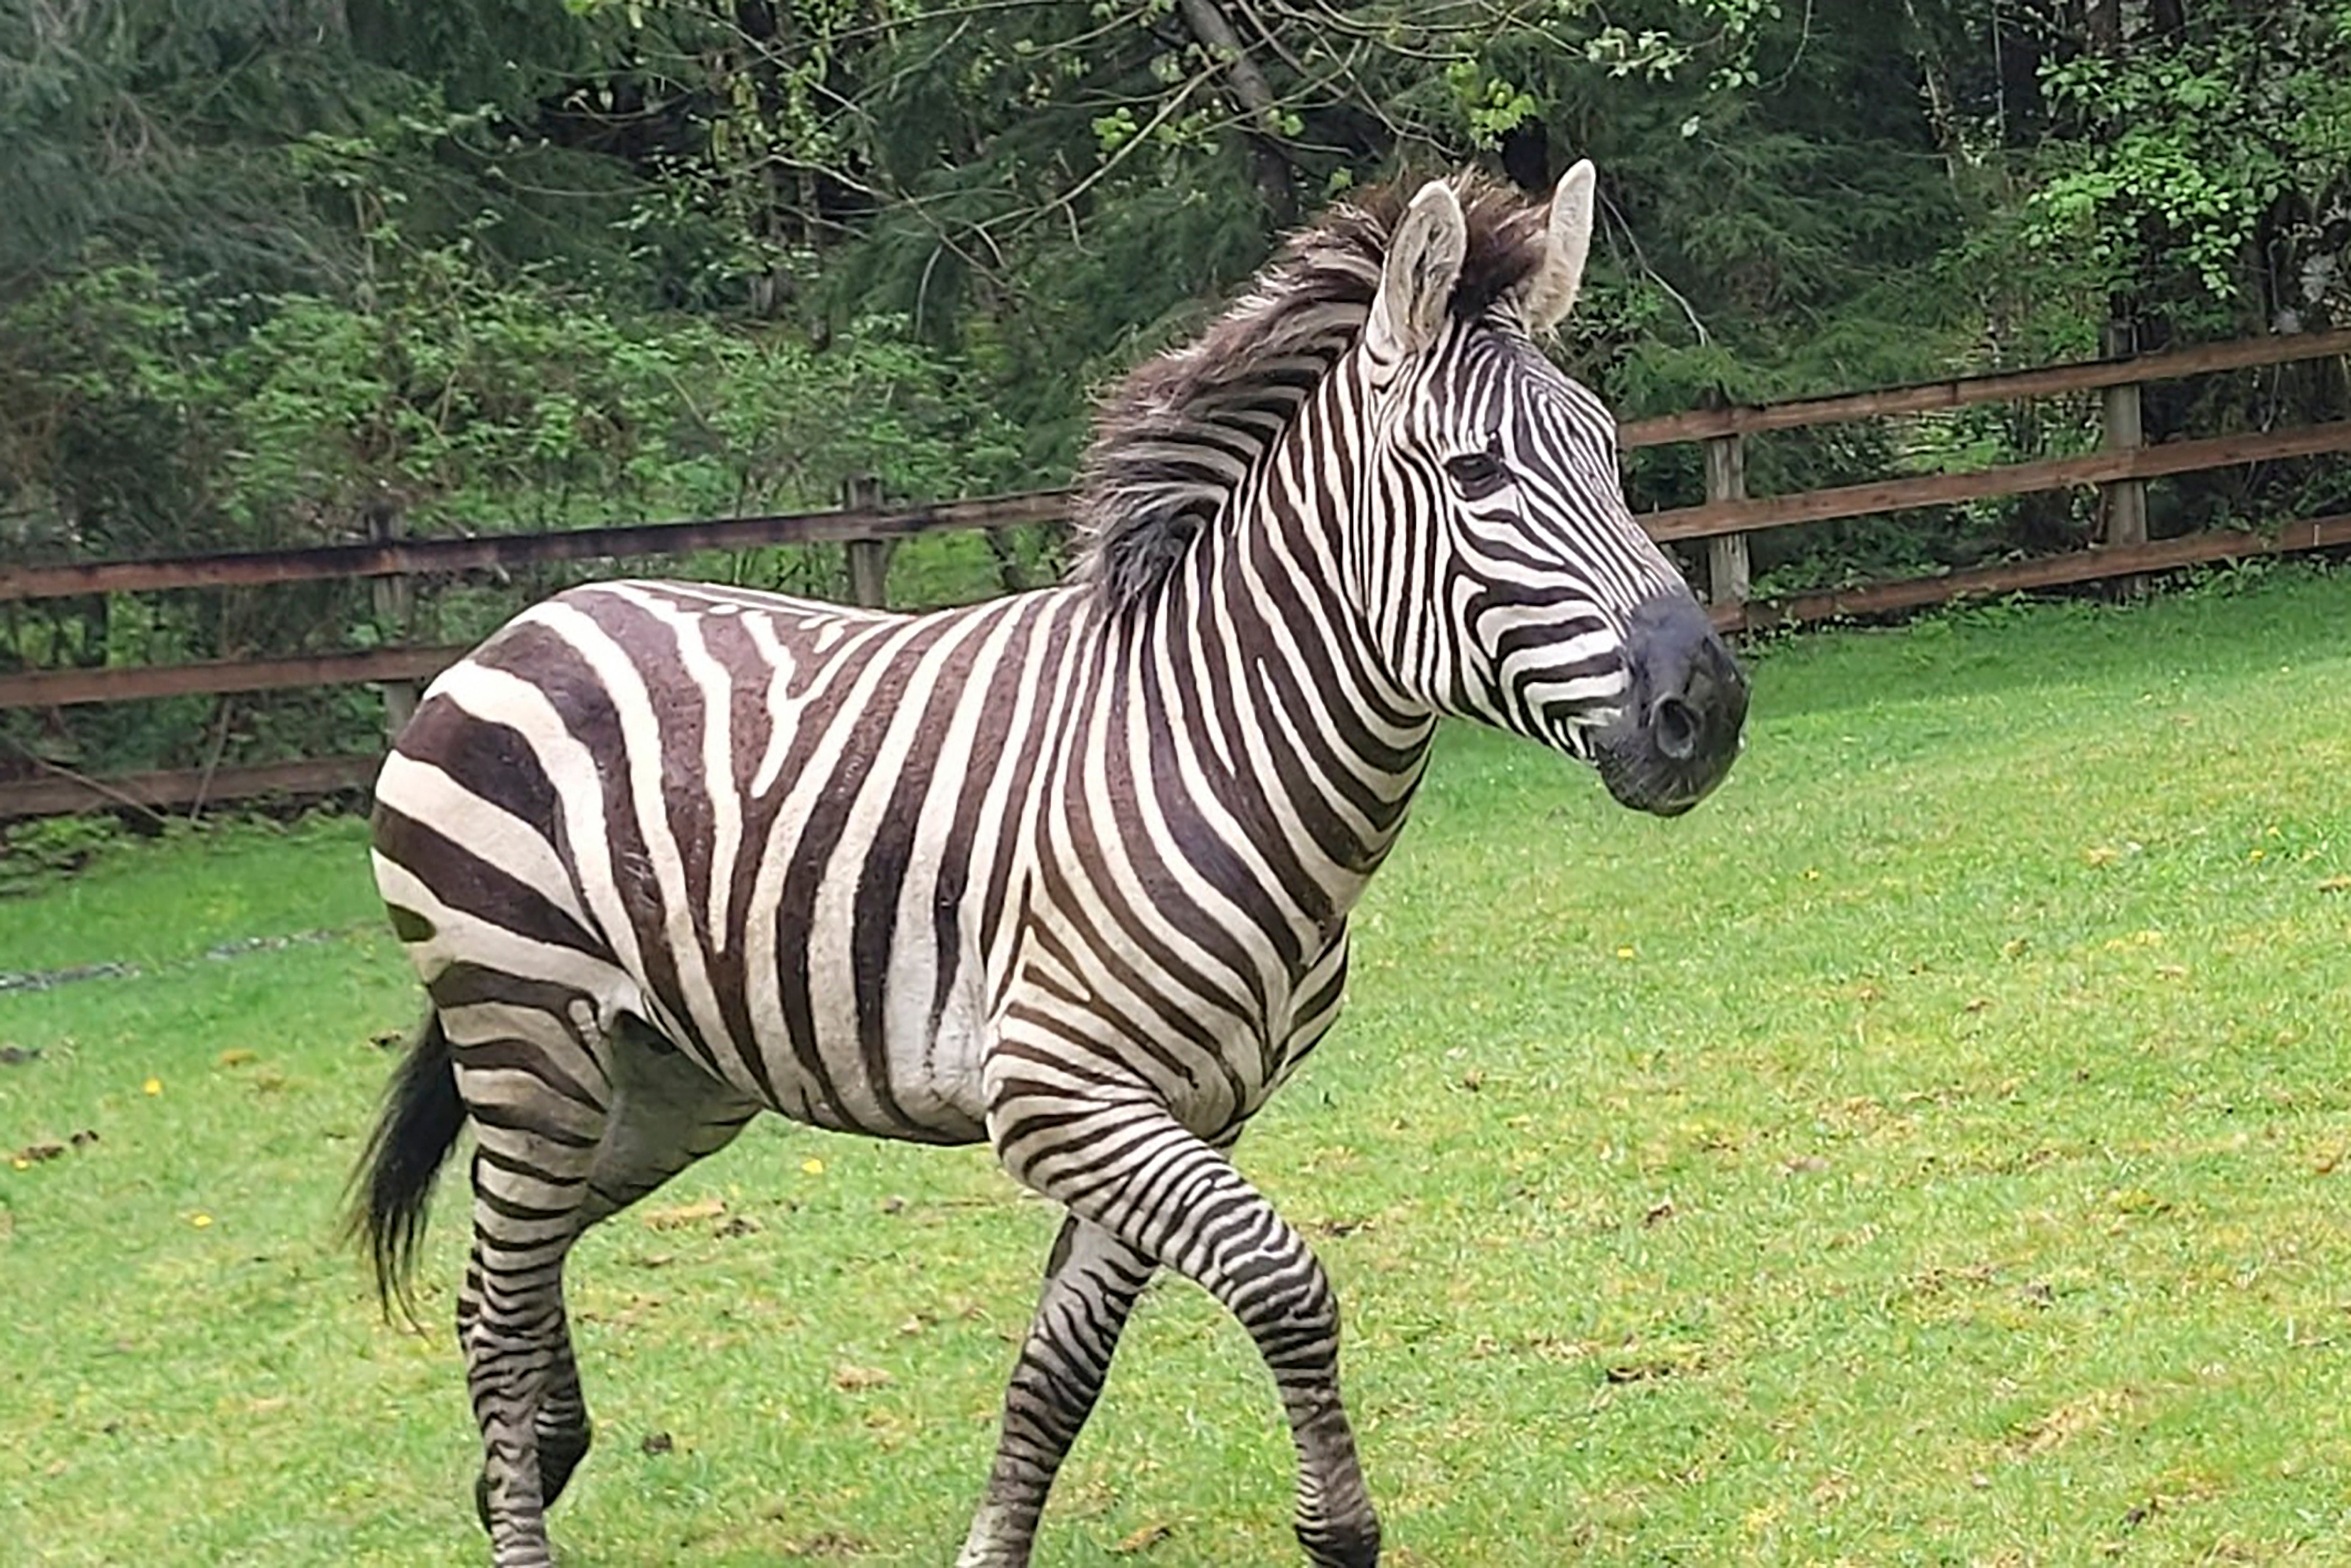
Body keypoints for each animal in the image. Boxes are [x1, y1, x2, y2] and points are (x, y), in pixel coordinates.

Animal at [348, 162, 1749, 1568]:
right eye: (1475, 474)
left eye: (1611, 455)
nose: (1712, 706)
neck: (1214, 748)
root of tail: (521, 626)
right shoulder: (1056, 1090)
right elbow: (1284, 1276)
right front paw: (1340, 1525)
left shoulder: (1189, 1108)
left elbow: (1058, 1373)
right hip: (528, 1030)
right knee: (499, 1300)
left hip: (666, 1074)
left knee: (509, 1265)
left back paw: (538, 1452)